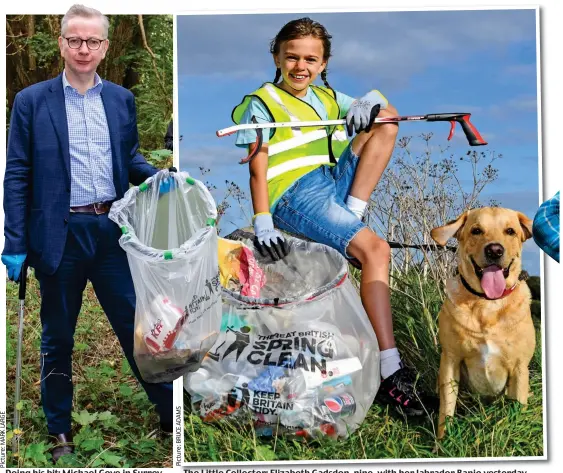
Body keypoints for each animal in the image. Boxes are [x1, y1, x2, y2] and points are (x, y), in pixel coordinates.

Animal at [432, 208, 536, 436]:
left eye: (510, 231)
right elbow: (446, 412)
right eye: (476, 230)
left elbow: (517, 408)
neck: (488, 303)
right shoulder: (451, 361)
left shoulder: (519, 368)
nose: (495, 250)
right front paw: (443, 441)